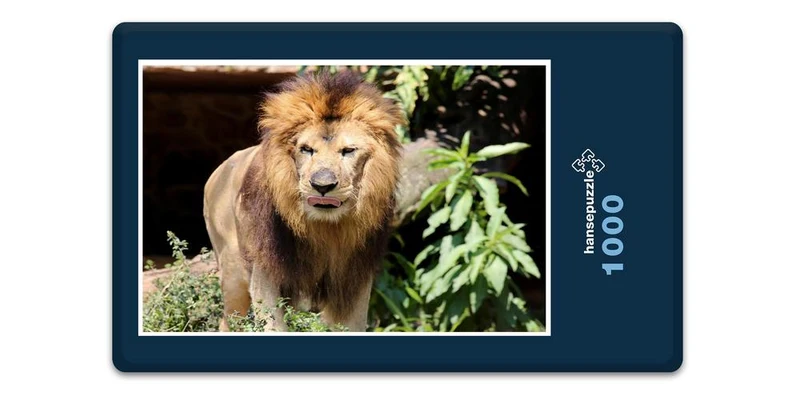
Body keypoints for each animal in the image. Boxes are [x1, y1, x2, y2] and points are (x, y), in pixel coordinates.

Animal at [203, 72, 405, 332]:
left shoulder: (356, 278)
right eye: (306, 149)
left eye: (348, 150)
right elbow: (272, 324)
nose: (322, 186)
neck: (325, 229)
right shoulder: (265, 271)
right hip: (233, 272)